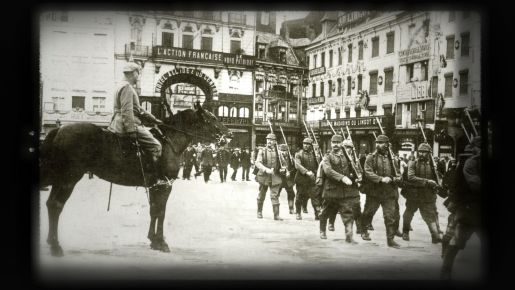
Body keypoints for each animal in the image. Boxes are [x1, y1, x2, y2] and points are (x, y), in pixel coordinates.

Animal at [40, 102, 232, 256]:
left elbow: (154, 210)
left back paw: (51, 241)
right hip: (69, 179)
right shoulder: (165, 185)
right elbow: (161, 212)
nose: (229, 135)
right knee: (56, 205)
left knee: (51, 204)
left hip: (60, 179)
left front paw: (153, 240)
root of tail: (59, 130)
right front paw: (161, 242)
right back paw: (56, 246)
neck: (168, 142)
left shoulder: (155, 186)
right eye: (211, 118)